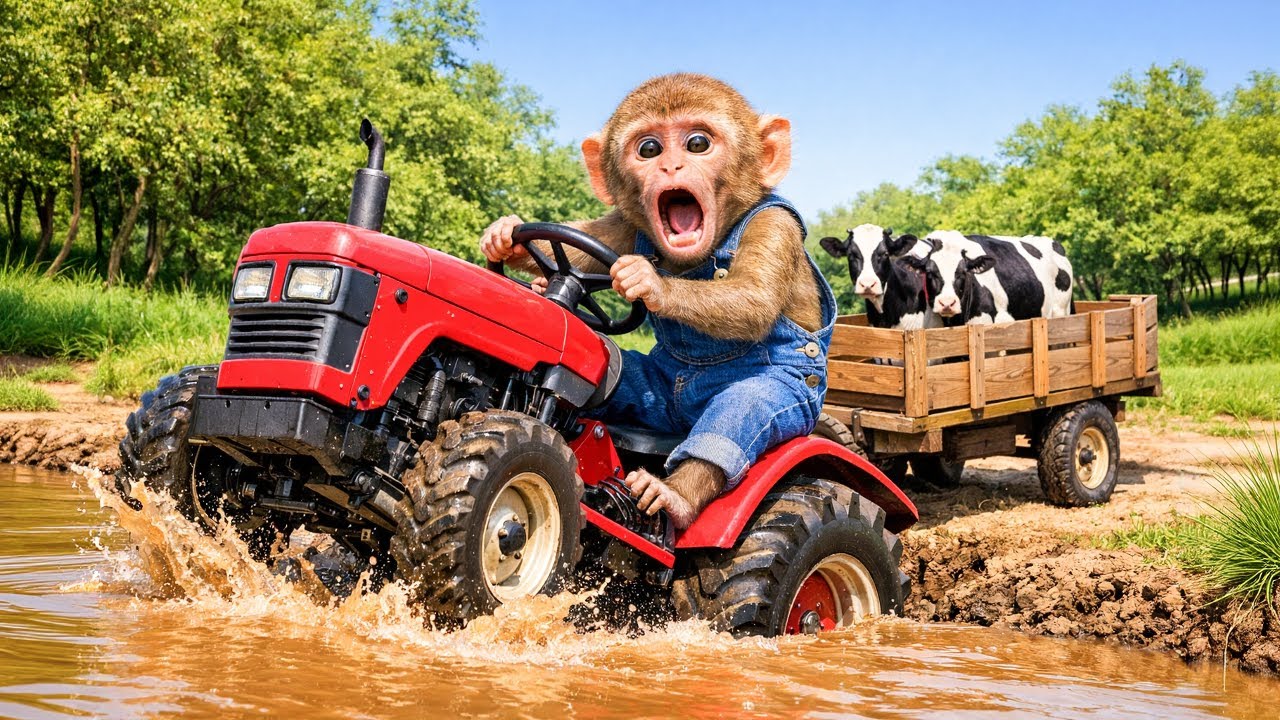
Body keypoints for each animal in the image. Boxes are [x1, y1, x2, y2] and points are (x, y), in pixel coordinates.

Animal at [480, 73, 836, 529]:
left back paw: (672, 495)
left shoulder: (774, 223)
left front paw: (645, 280)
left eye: (698, 143)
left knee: (738, 416)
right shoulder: (623, 227)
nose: (670, 167)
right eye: (648, 149)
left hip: (787, 401)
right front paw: (503, 235)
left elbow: (755, 295)